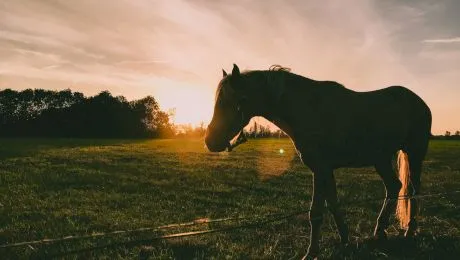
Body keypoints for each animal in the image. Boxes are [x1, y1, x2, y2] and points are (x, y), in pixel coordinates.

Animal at [205, 64, 432, 258]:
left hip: (414, 153)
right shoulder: (324, 170)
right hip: (381, 159)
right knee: (394, 187)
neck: (308, 109)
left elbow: (316, 213)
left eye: (237, 101)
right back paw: (380, 232)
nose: (210, 141)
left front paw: (311, 253)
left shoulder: (320, 168)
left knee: (413, 190)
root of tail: (419, 102)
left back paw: (409, 231)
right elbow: (333, 205)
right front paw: (345, 241)